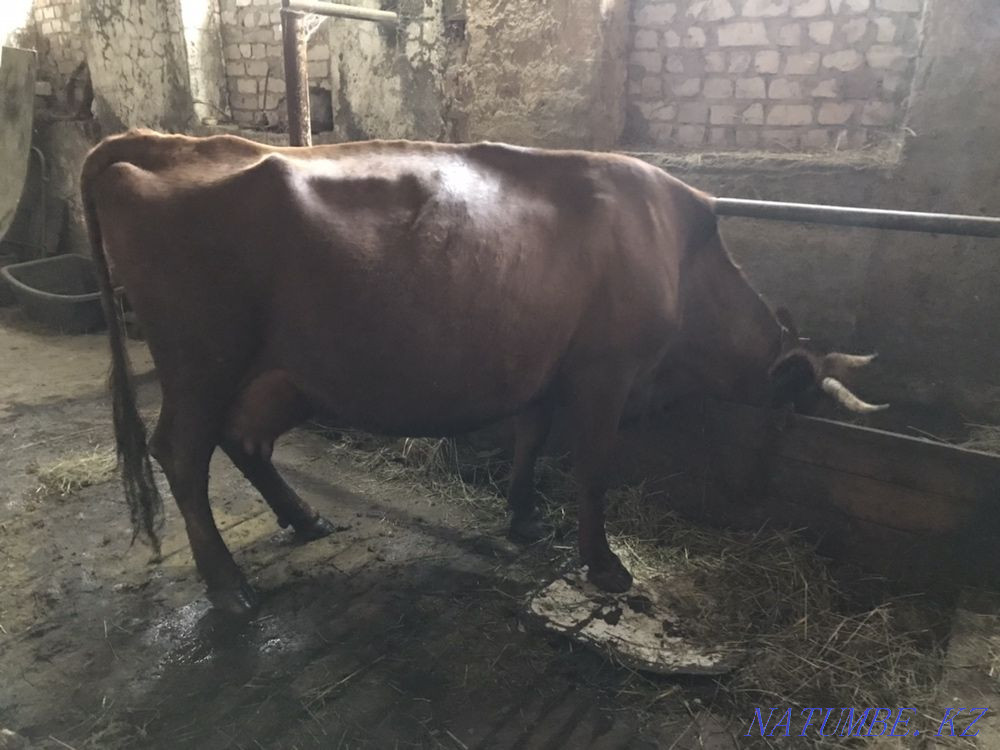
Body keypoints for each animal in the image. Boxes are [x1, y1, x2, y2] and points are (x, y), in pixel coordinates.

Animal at [81, 130, 885, 614]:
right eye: (794, 412)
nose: (763, 490)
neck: (682, 258)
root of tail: (165, 143)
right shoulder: (605, 371)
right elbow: (593, 469)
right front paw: (605, 566)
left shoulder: (542, 366)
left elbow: (530, 439)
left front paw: (524, 518)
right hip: (201, 357)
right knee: (182, 454)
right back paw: (229, 588)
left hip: (279, 372)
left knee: (244, 440)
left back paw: (303, 518)